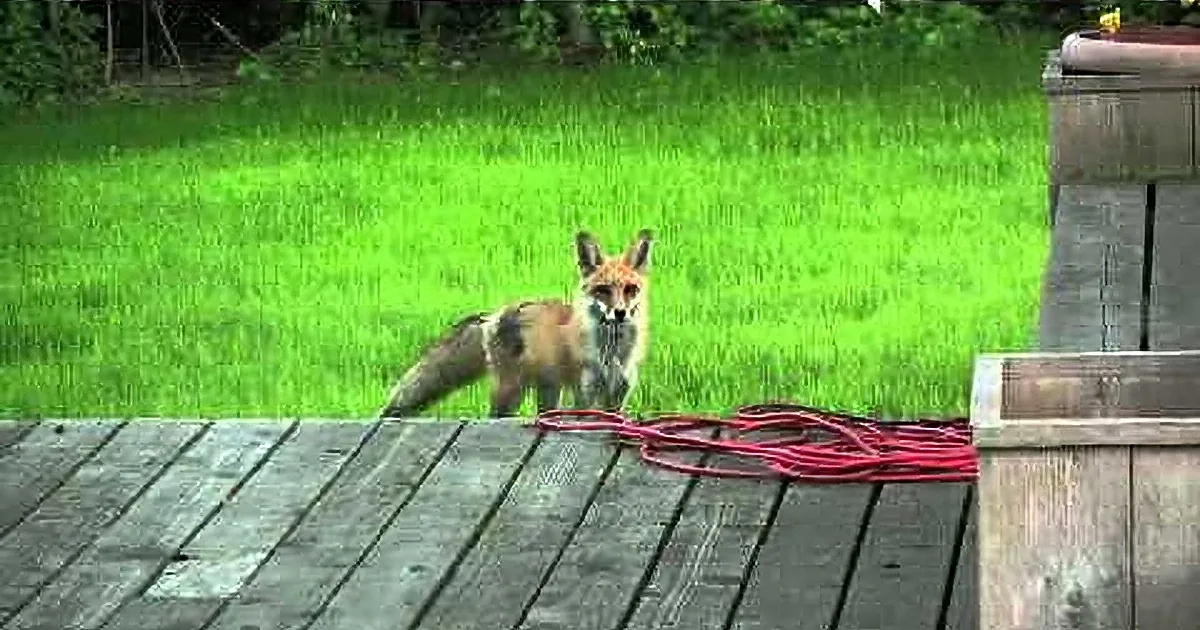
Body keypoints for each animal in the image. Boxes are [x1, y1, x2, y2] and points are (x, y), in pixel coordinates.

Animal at [379, 229, 654, 419]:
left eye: (631, 289)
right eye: (603, 290)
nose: (620, 313)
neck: (612, 354)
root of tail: (493, 315)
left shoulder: (617, 397)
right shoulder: (584, 394)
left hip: (548, 391)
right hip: (510, 391)